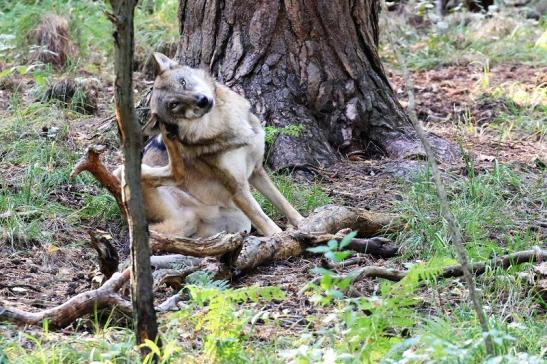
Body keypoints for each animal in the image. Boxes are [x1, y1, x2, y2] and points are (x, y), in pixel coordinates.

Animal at [131, 52, 306, 237]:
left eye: (182, 82)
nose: (202, 100)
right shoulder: (237, 190)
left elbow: (284, 203)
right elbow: (269, 225)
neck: (224, 125)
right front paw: (282, 237)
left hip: (237, 221)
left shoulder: (256, 172)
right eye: (174, 105)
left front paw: (303, 223)